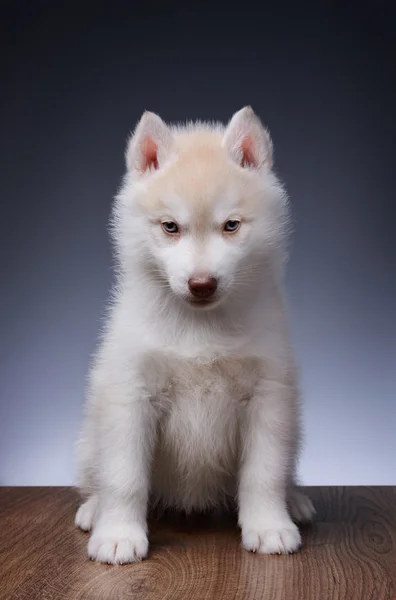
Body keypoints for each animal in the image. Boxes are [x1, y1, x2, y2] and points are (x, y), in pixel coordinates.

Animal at [74, 106, 316, 564]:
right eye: (170, 226)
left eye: (231, 225)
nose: (202, 284)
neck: (199, 326)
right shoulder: (131, 394)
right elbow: (124, 476)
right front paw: (118, 534)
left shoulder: (268, 396)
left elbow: (264, 473)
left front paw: (269, 527)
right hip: (92, 430)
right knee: (96, 474)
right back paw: (94, 509)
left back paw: (294, 501)